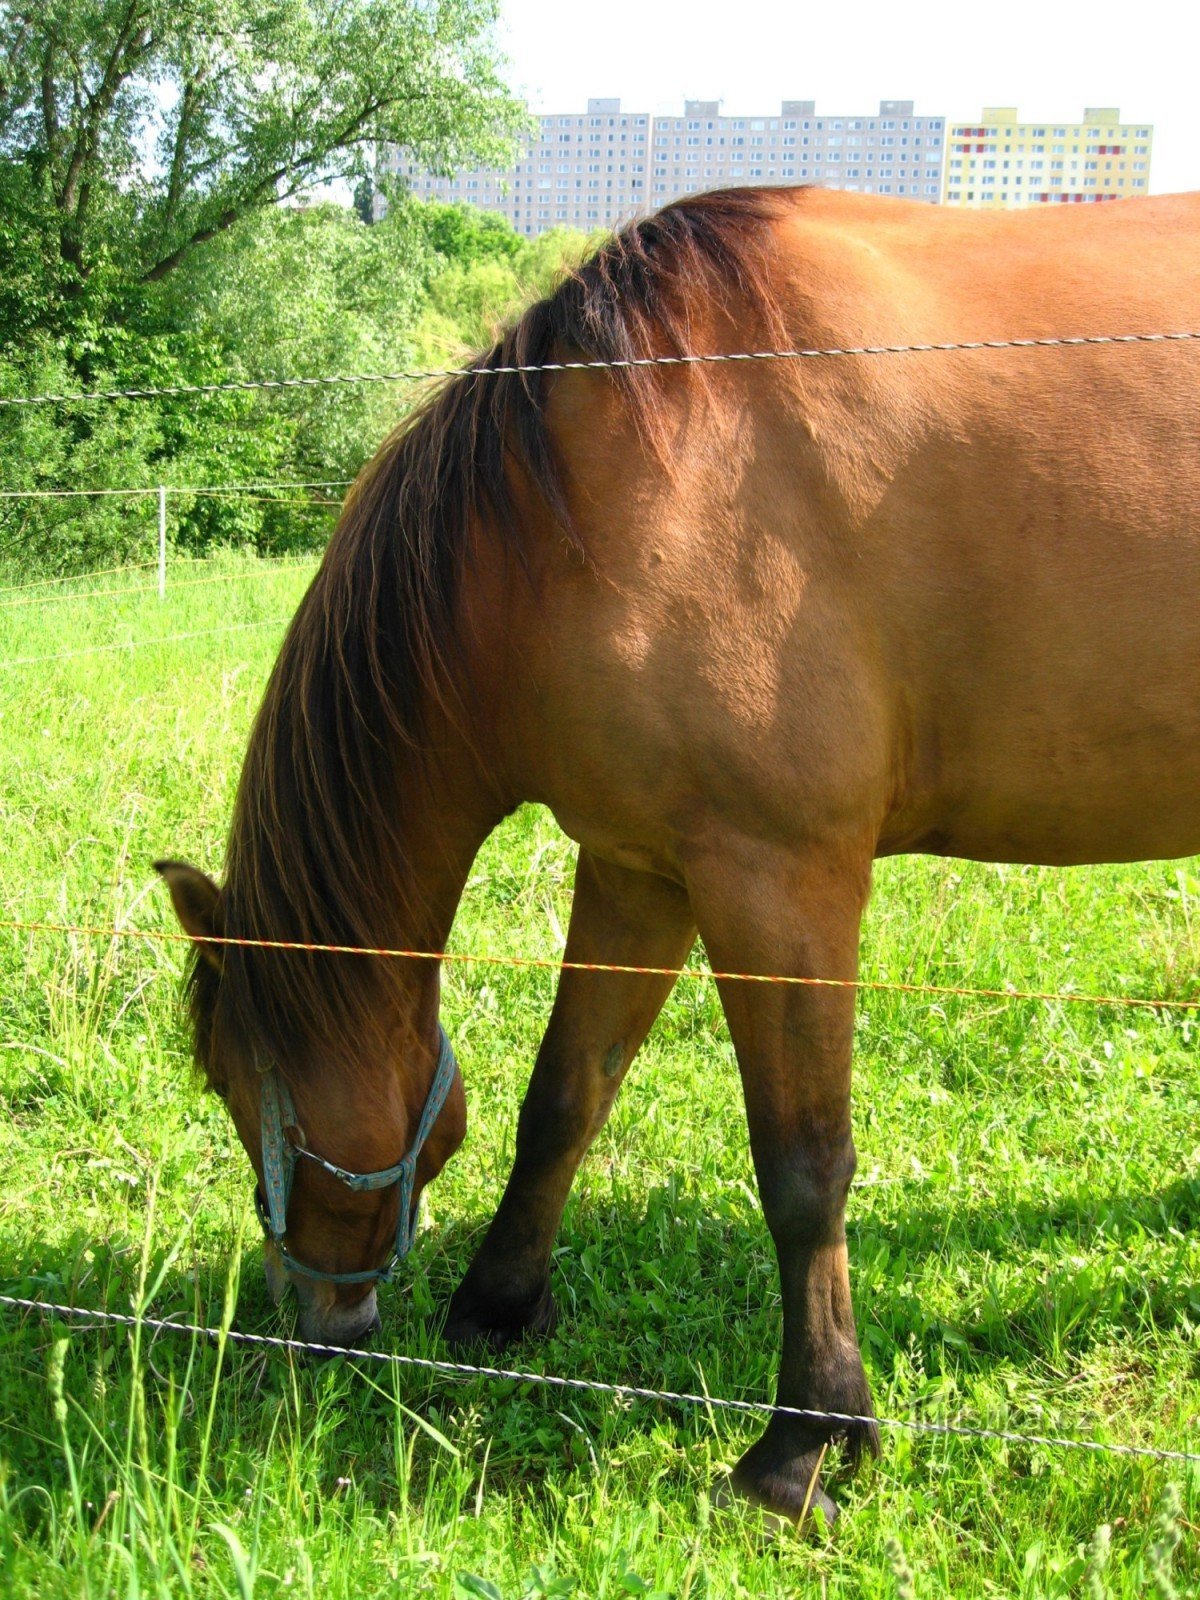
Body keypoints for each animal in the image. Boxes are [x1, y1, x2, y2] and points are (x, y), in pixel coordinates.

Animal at [160, 187, 1200, 1523]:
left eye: (235, 1084)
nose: (316, 1327)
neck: (621, 475)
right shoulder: (637, 869)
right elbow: (565, 1096)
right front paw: (496, 1308)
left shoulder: (777, 879)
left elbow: (803, 1166)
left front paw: (805, 1441)